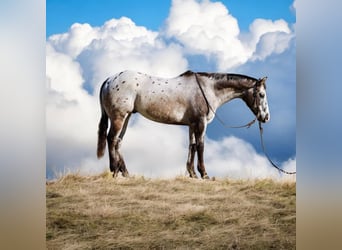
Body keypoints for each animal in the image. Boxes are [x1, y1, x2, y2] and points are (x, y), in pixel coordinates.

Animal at [96, 70, 270, 179]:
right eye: (261, 95)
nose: (266, 117)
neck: (208, 89)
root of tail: (109, 80)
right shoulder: (200, 122)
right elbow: (200, 146)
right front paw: (204, 174)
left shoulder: (192, 124)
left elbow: (192, 146)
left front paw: (192, 174)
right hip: (118, 117)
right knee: (111, 139)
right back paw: (114, 170)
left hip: (126, 117)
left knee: (118, 142)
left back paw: (125, 173)